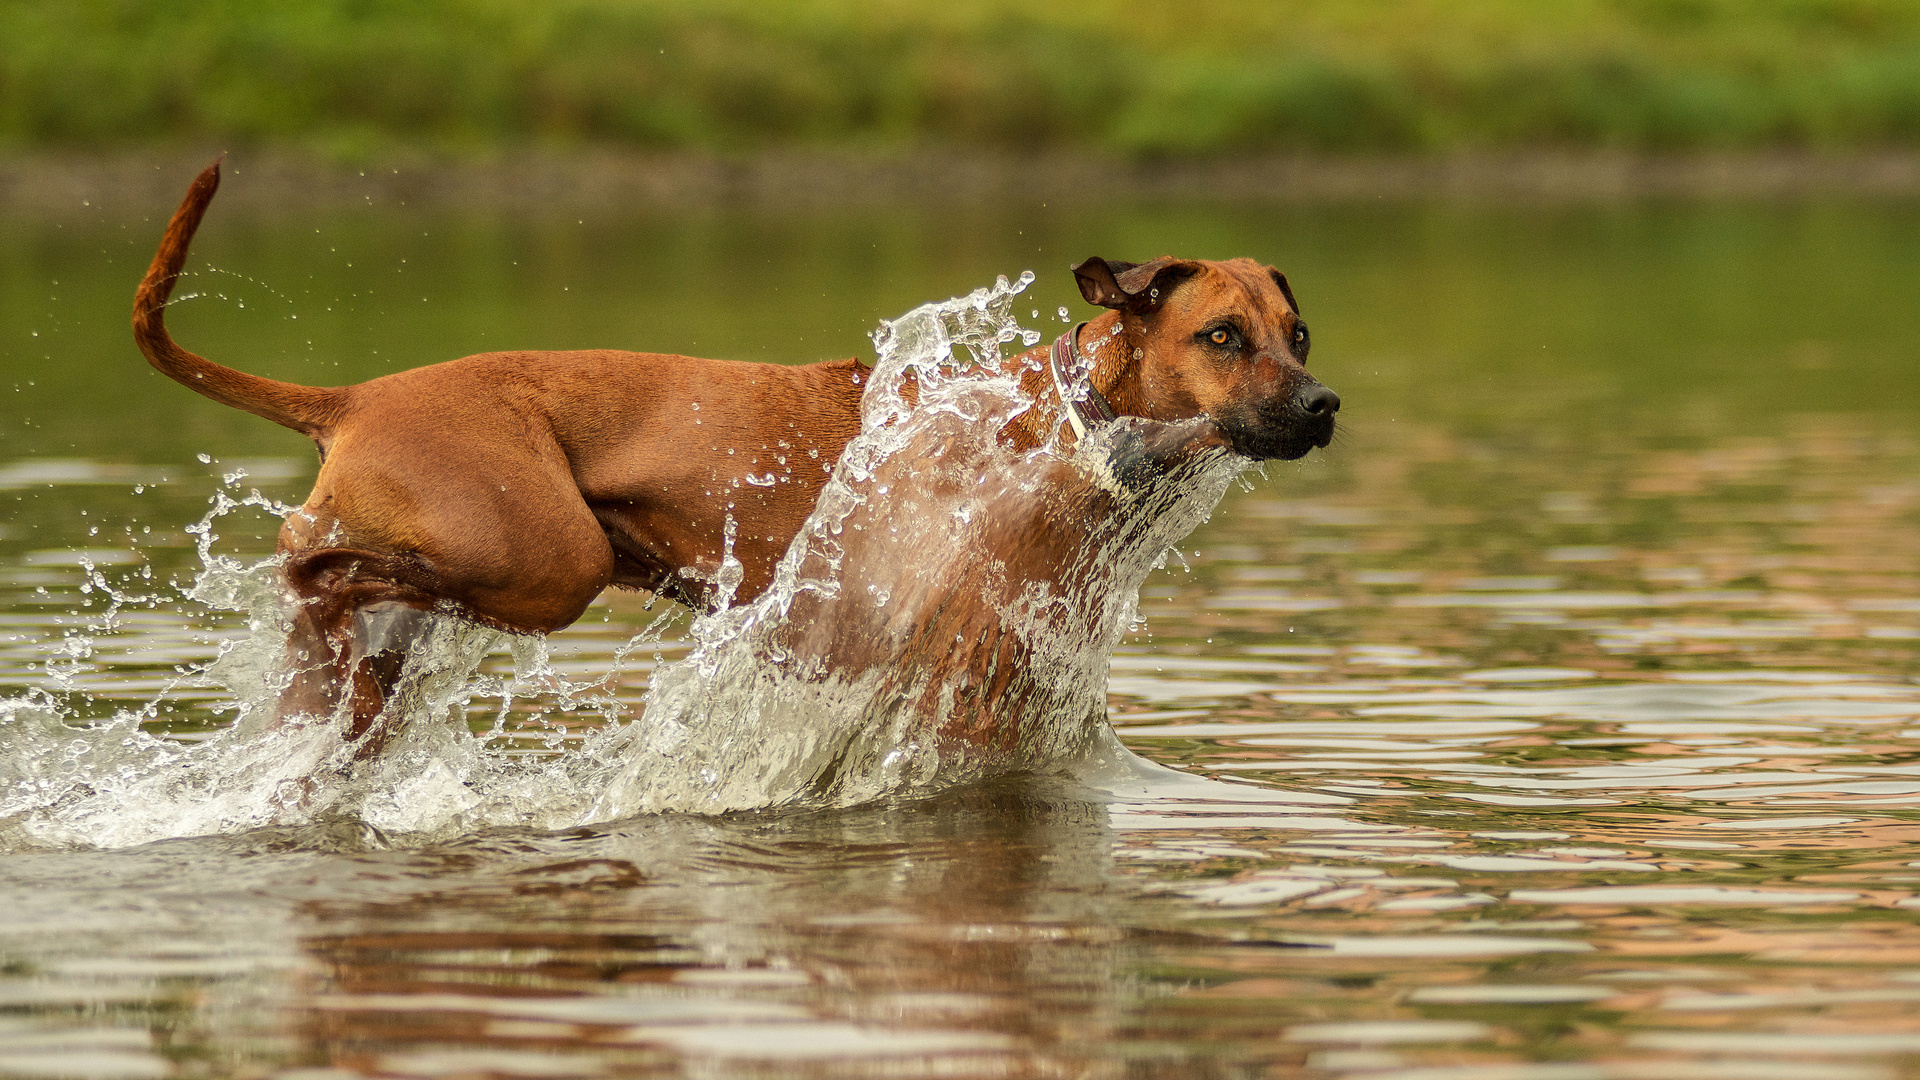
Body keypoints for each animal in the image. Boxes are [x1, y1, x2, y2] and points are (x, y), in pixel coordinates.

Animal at [131, 164, 1336, 745]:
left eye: (1300, 333)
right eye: (1221, 338)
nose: (1323, 406)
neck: (1061, 425)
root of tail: (357, 396)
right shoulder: (959, 671)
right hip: (547, 557)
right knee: (313, 555)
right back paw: (309, 576)